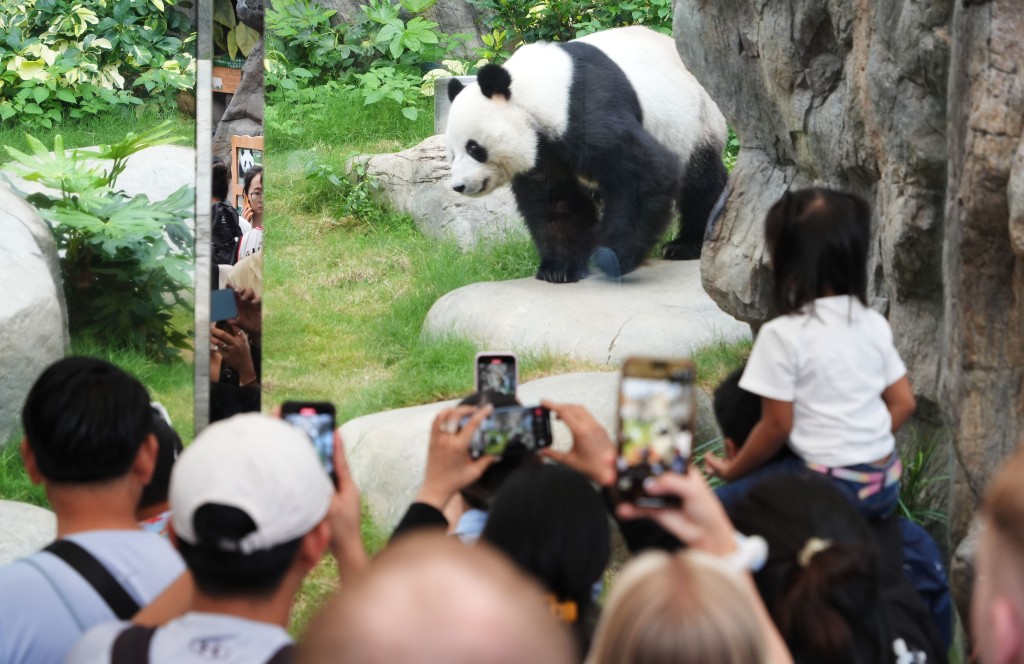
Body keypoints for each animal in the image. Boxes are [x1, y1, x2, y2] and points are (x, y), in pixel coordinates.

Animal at [448, 26, 729, 282]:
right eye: (452, 153)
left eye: (474, 148)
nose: (459, 186)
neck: (530, 90)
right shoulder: (546, 150)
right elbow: (556, 202)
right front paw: (559, 268)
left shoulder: (582, 108)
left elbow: (646, 173)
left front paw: (611, 258)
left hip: (695, 121)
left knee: (700, 180)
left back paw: (687, 244)